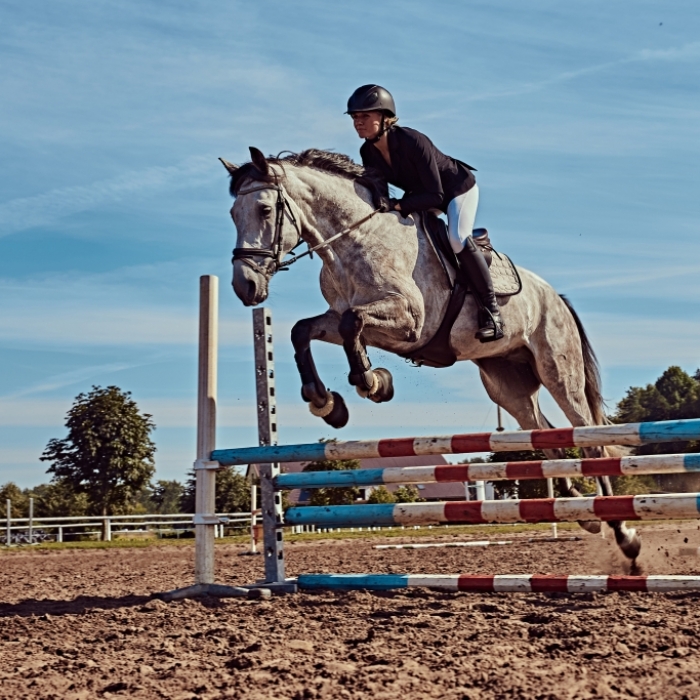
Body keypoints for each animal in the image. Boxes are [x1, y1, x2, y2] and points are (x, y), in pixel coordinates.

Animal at [220, 146, 641, 562]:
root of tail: (556, 297)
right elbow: (304, 330)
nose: (245, 287)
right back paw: (582, 510)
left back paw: (622, 531)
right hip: (508, 385)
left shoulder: (410, 321)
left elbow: (354, 324)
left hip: (558, 372)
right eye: (232, 214)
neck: (354, 241)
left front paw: (372, 382)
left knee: (589, 438)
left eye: (264, 209)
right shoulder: (341, 318)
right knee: (544, 433)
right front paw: (327, 402)